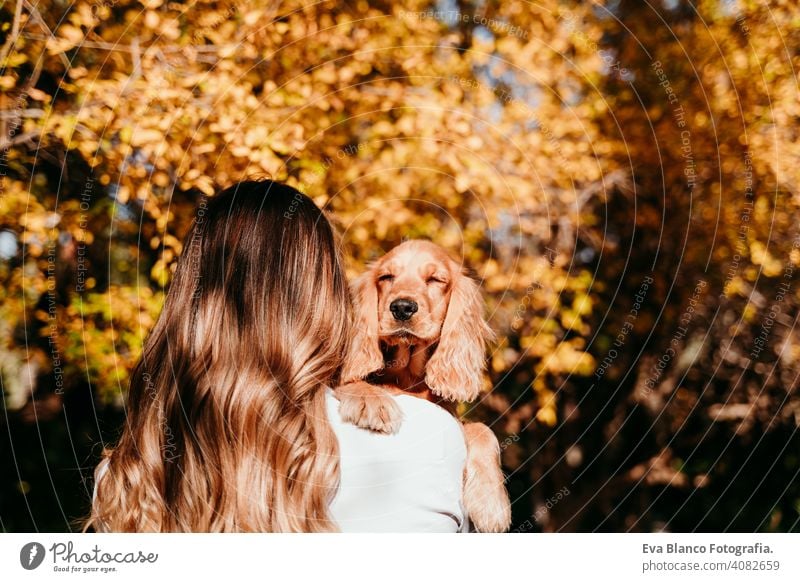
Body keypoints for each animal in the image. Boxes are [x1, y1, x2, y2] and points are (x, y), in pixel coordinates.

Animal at [332, 238, 510, 532]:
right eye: (386, 277)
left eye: (435, 279)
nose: (402, 307)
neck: (407, 377)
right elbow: (352, 381)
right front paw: (373, 401)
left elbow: (483, 429)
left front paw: (491, 502)